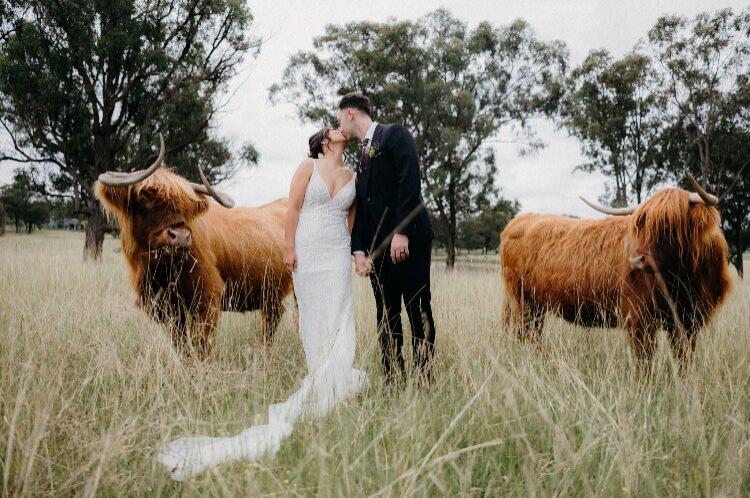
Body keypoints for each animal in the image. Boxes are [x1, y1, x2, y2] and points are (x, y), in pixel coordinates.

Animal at [502, 176, 732, 370]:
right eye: (643, 224)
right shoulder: (639, 319)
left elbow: (683, 360)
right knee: (525, 335)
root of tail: (519, 220)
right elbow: (644, 362)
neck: (683, 281)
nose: (636, 259)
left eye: (669, 224)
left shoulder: (688, 323)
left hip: (536, 306)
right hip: (522, 302)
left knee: (533, 336)